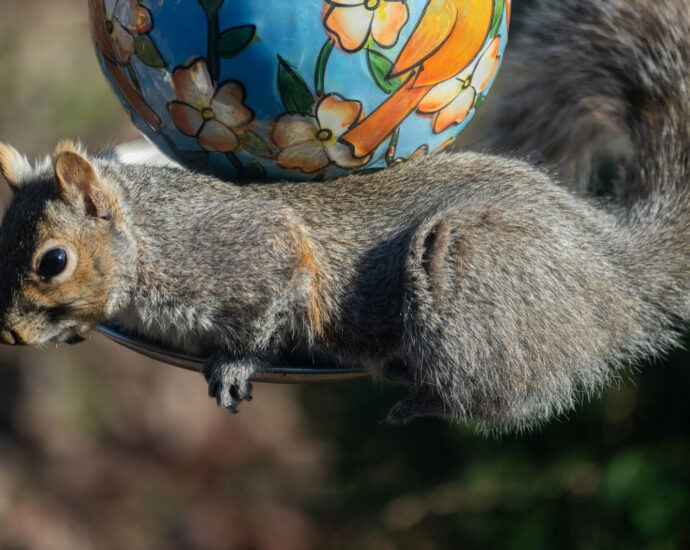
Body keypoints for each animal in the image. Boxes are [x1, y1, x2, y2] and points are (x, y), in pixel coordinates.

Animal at [0, 0, 687, 431]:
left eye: (54, 260)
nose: (9, 336)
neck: (148, 238)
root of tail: (615, 273)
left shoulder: (250, 247)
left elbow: (266, 311)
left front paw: (234, 365)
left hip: (472, 266)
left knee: (505, 395)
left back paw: (422, 403)